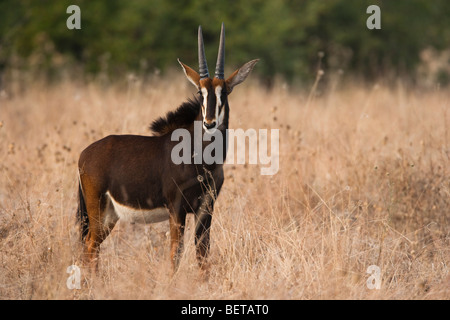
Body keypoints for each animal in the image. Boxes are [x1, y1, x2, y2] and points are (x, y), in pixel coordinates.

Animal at [77, 23, 258, 272]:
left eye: (225, 92)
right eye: (200, 92)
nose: (209, 123)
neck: (200, 158)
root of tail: (84, 154)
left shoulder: (206, 208)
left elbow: (203, 252)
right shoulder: (176, 208)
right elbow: (176, 253)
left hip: (110, 215)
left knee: (92, 245)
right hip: (97, 208)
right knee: (91, 245)